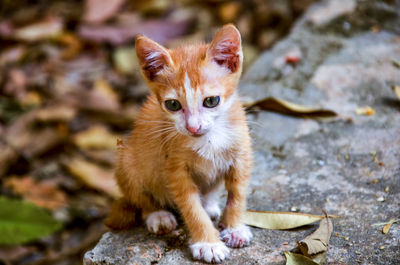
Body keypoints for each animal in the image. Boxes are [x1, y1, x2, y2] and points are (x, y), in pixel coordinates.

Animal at [106, 24, 253, 262]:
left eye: (211, 101)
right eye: (173, 105)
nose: (193, 127)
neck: (209, 138)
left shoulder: (241, 153)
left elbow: (238, 193)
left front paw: (234, 228)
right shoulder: (174, 169)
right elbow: (191, 208)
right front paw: (209, 243)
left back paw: (209, 204)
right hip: (126, 160)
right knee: (140, 196)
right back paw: (158, 215)